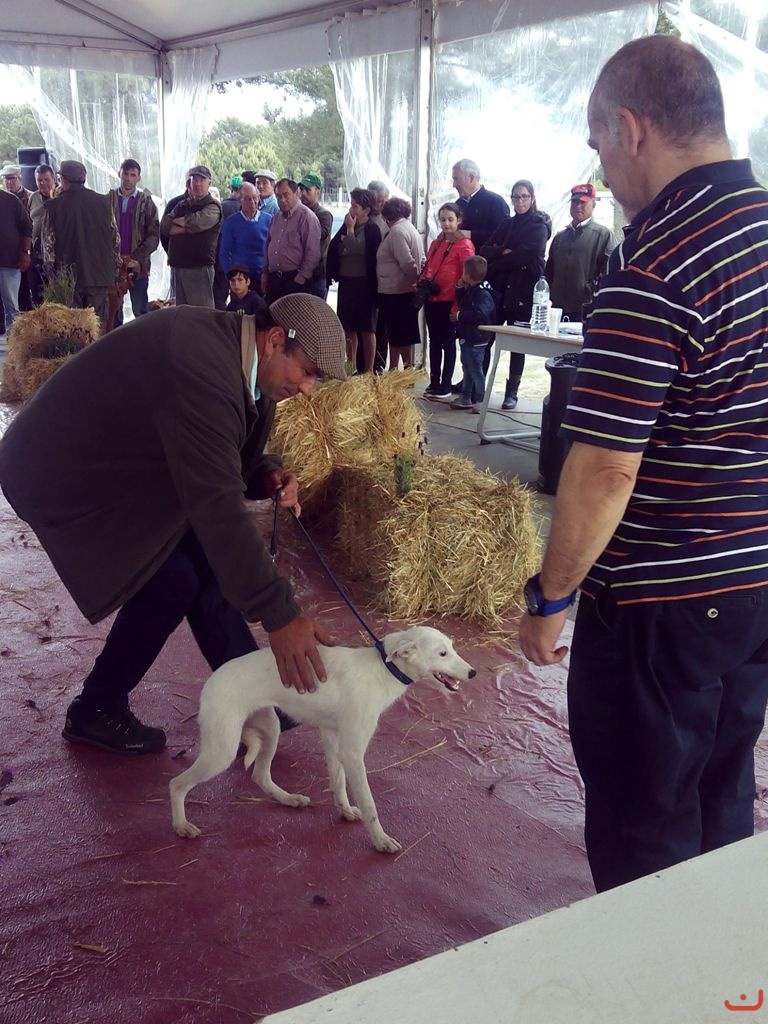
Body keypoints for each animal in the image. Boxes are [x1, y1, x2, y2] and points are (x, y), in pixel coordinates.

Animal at [170, 626, 475, 853]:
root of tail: (211, 681)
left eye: (453, 647)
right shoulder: (352, 752)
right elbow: (370, 804)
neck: (382, 670)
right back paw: (182, 826)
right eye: (442, 653)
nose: (473, 672)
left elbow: (337, 783)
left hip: (270, 729)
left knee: (260, 775)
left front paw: (345, 811)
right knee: (177, 784)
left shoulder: (332, 737)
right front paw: (380, 840)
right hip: (221, 750)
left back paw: (289, 799)